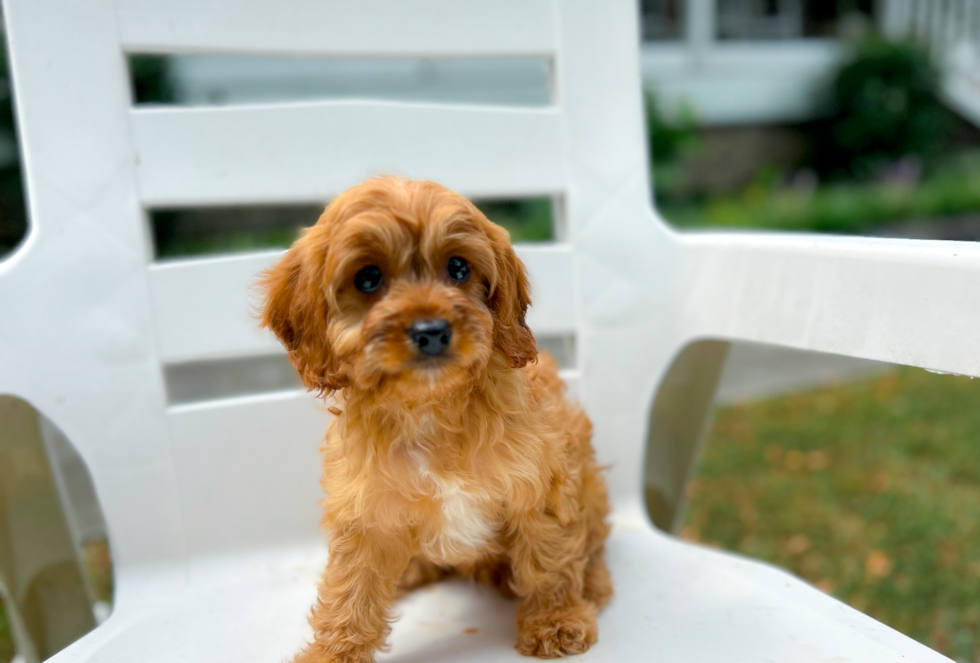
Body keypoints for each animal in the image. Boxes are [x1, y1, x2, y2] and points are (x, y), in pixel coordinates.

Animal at [262, 178, 612, 663]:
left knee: (593, 541)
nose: (431, 331)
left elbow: (549, 558)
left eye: (458, 269)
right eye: (368, 278)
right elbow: (350, 593)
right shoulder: (366, 512)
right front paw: (332, 653)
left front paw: (556, 621)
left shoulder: (541, 485)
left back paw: (593, 585)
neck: (429, 405)